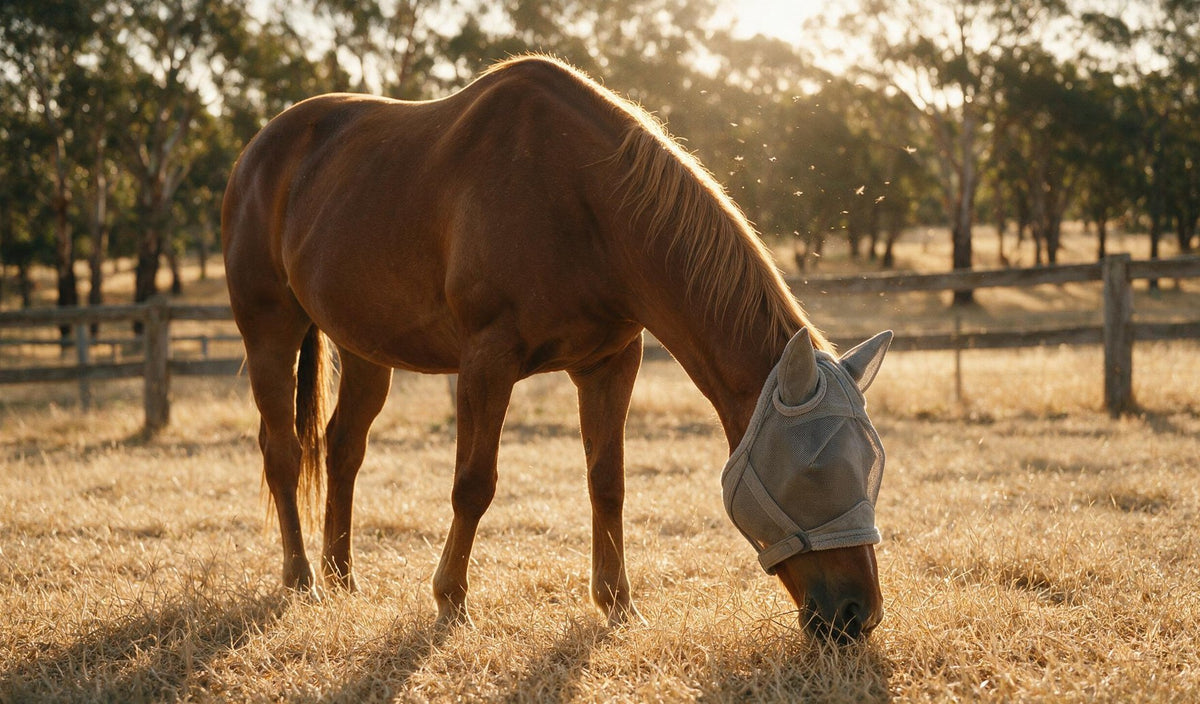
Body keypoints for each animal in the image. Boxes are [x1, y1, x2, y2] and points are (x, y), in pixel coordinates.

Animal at [221, 55, 893, 640]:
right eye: (812, 470)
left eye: (870, 461)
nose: (857, 614)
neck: (578, 196)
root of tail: (259, 149)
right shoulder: (487, 360)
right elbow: (474, 483)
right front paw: (450, 601)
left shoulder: (609, 365)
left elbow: (607, 481)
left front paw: (618, 605)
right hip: (270, 332)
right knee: (283, 451)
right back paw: (302, 579)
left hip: (367, 351)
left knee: (342, 449)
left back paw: (342, 578)